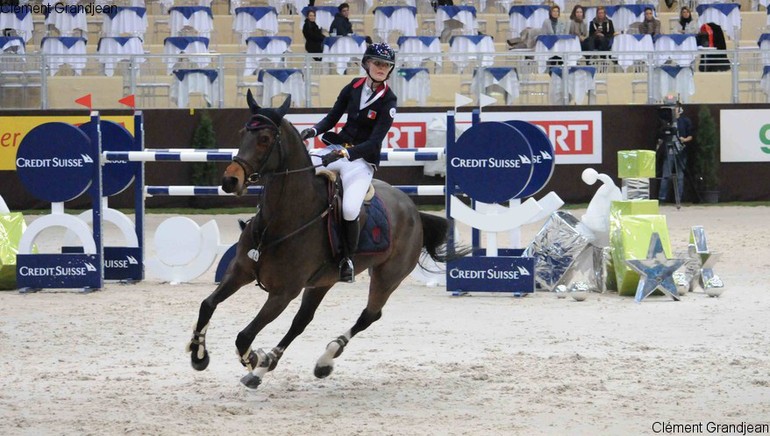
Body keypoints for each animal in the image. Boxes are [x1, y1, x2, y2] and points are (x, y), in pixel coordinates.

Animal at [187, 92, 460, 388]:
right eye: (241, 134)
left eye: (265, 139)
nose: (230, 181)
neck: (282, 219)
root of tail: (413, 210)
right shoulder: (240, 271)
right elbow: (207, 305)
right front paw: (199, 354)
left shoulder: (283, 293)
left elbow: (244, 336)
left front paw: (254, 358)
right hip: (323, 281)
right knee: (302, 321)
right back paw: (267, 367)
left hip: (388, 276)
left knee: (369, 315)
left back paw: (324, 358)